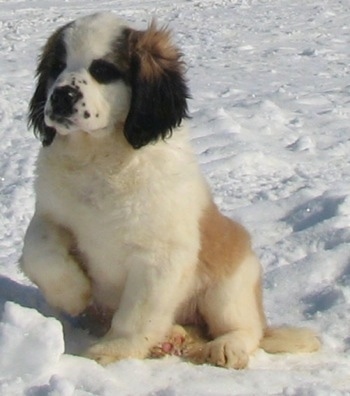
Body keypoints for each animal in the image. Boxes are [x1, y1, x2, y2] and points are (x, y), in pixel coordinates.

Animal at [19, 13, 320, 372]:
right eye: (57, 67)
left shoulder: (161, 255)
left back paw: (226, 346)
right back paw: (174, 337)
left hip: (231, 279)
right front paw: (72, 293)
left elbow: (138, 312)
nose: (61, 96)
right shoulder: (50, 214)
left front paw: (113, 350)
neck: (99, 156)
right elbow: (37, 250)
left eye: (103, 70)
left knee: (248, 329)